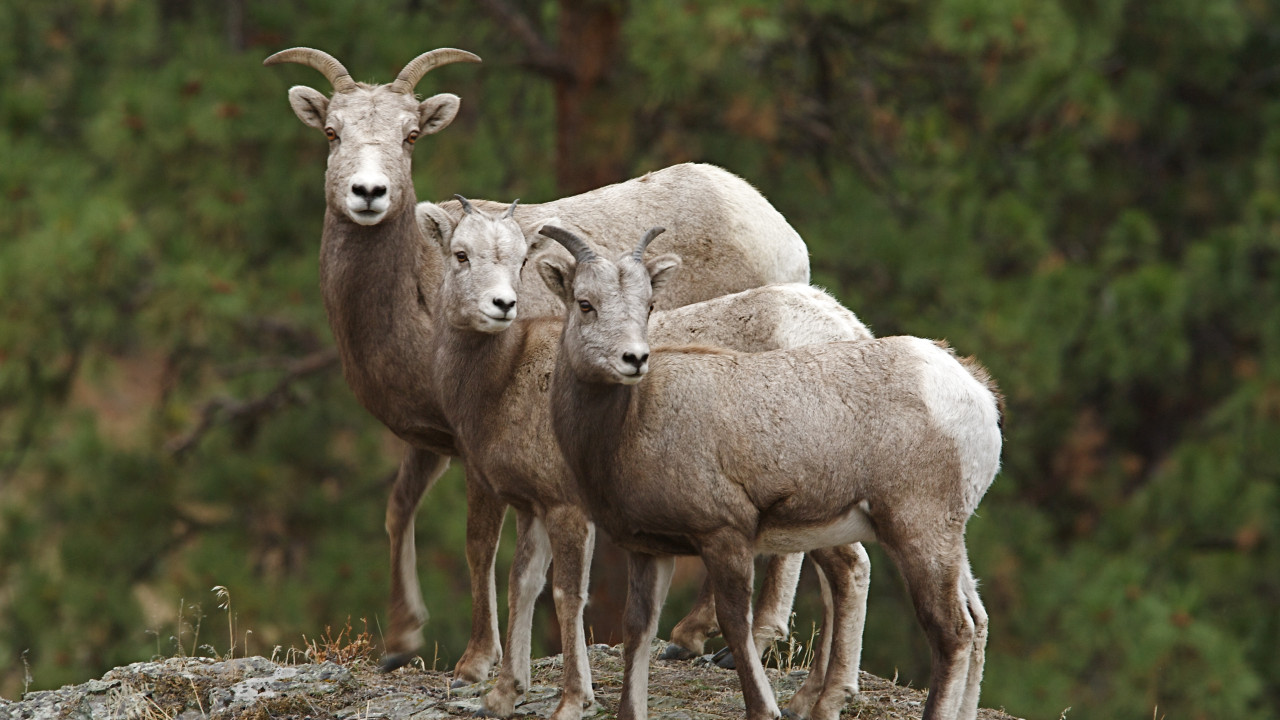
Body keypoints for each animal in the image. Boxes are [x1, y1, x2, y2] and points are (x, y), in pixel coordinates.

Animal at [264, 49, 814, 676]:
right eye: (332, 132)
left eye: (410, 136)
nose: (369, 192)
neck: (417, 292)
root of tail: (780, 235)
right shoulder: (432, 439)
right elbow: (400, 509)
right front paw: (401, 643)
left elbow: (480, 543)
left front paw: (478, 661)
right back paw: (692, 639)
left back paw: (728, 641)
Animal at [537, 225, 998, 717]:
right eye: (585, 303)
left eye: (648, 305)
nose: (634, 359)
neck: (630, 424)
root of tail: (975, 392)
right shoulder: (647, 549)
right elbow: (637, 631)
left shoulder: (725, 536)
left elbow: (734, 623)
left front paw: (763, 705)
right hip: (947, 537)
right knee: (975, 618)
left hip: (917, 533)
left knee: (951, 630)